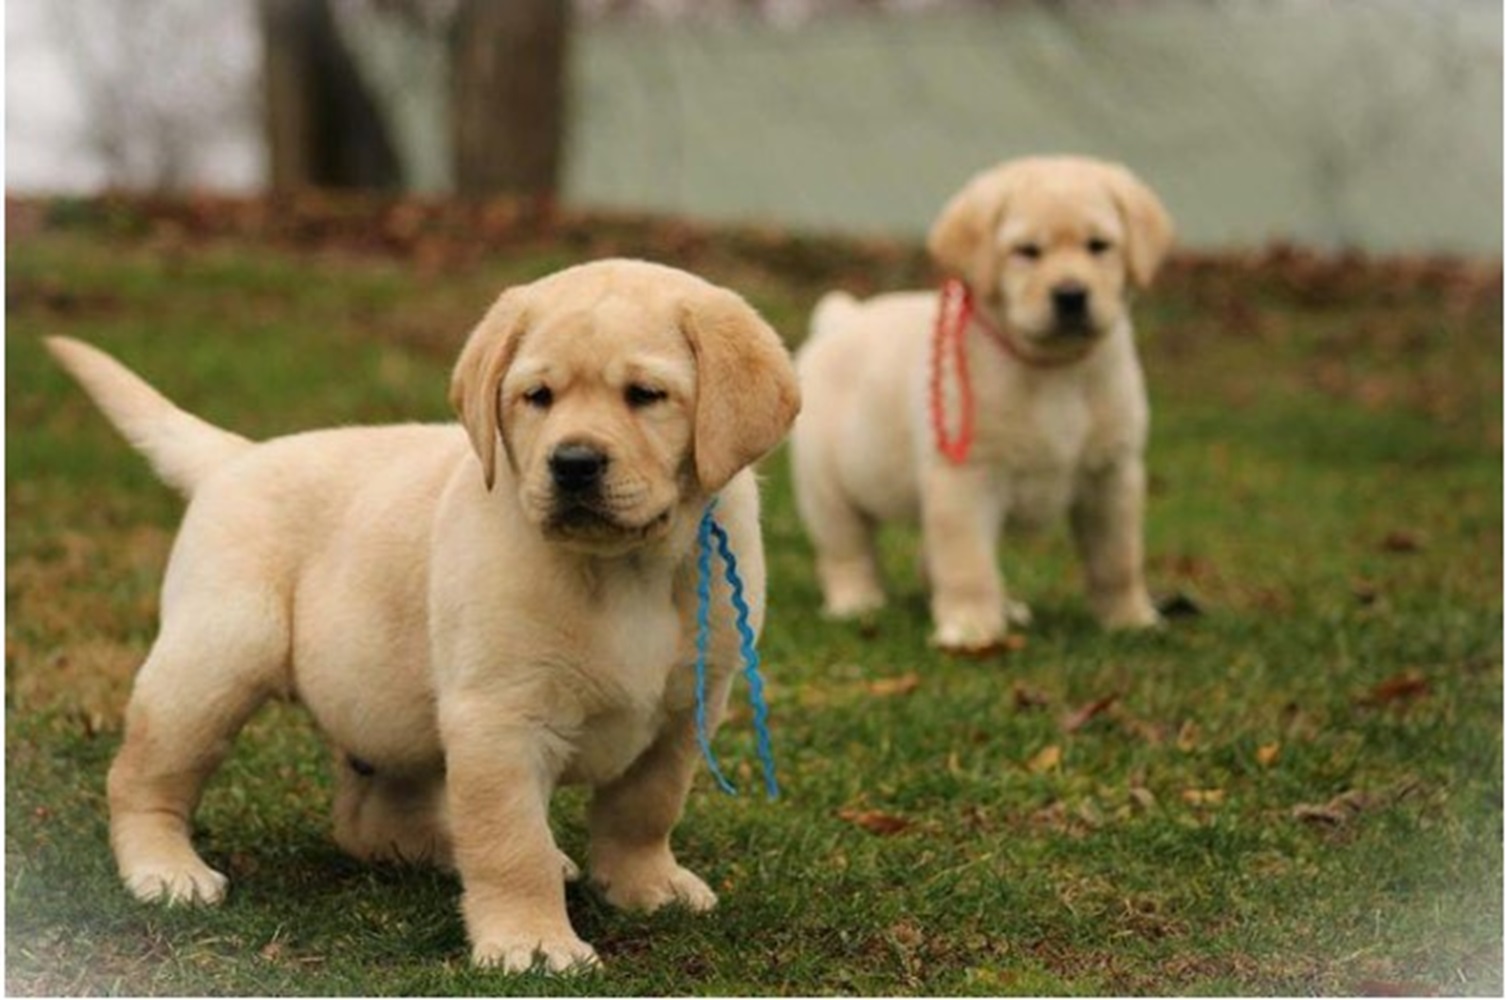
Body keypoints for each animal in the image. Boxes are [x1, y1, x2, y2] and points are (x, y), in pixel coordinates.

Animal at [44, 256, 801, 969]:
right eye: (537, 397)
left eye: (646, 396)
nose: (574, 463)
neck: (627, 567)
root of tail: (239, 458)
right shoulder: (500, 717)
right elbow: (511, 843)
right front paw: (532, 943)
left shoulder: (685, 711)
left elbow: (645, 809)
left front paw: (645, 886)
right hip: (215, 663)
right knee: (143, 775)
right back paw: (164, 868)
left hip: (392, 706)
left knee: (372, 816)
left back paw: (439, 849)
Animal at [789, 156, 1174, 653]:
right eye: (1027, 251)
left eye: (1099, 246)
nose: (1071, 295)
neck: (1054, 369)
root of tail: (841, 319)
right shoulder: (966, 478)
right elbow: (969, 564)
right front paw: (970, 629)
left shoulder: (1112, 475)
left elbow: (1118, 560)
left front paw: (1130, 620)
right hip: (827, 487)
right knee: (848, 551)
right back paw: (857, 603)